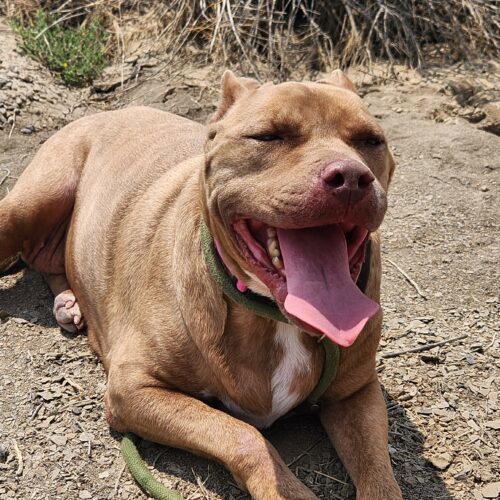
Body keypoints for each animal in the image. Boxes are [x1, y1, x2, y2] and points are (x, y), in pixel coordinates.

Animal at [0, 71, 400, 500]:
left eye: (370, 140)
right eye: (268, 136)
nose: (351, 178)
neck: (271, 316)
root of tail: (107, 112)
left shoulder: (357, 393)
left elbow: (379, 473)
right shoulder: (133, 388)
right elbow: (243, 435)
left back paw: (68, 302)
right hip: (31, 203)